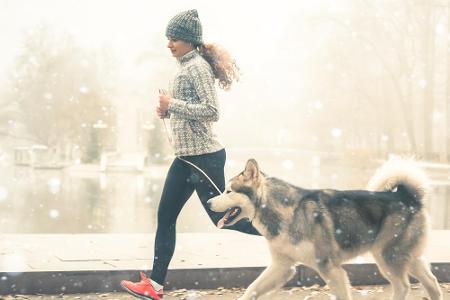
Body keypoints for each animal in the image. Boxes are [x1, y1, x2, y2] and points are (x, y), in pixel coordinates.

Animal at [208, 158, 442, 298]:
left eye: (228, 191)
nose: (209, 202)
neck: (287, 212)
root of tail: (406, 197)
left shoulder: (330, 269)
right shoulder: (282, 266)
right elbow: (251, 289)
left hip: (389, 258)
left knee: (403, 286)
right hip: (404, 257)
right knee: (431, 282)